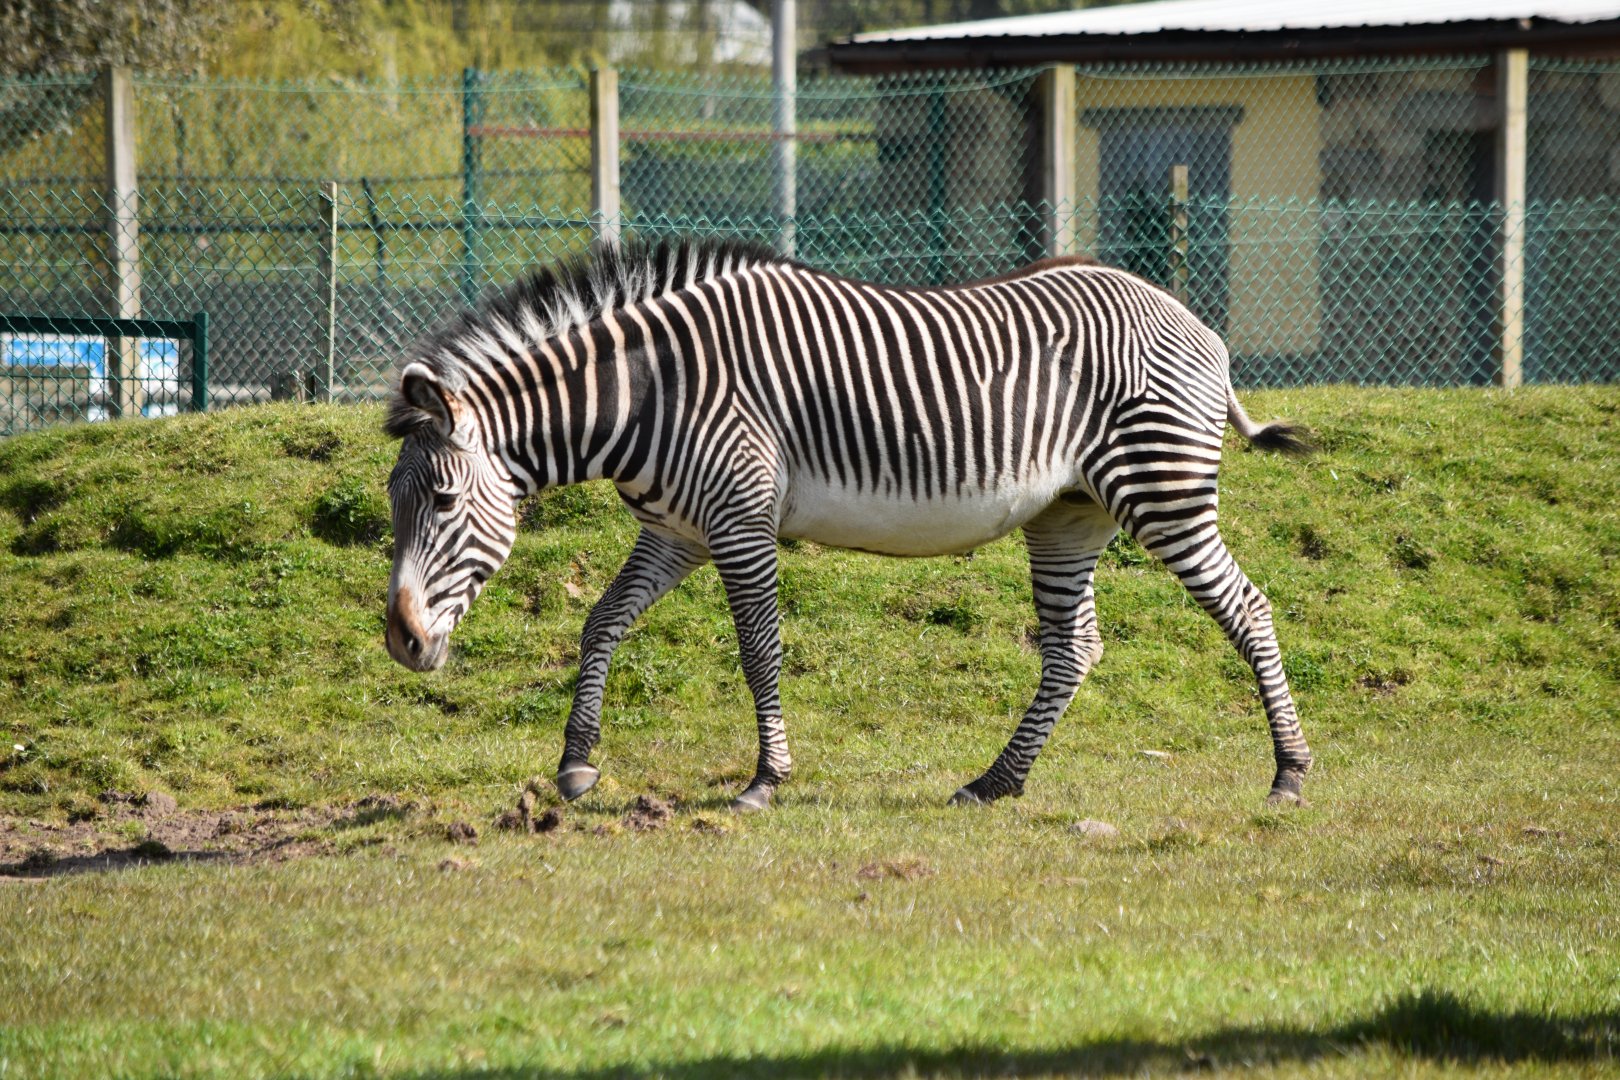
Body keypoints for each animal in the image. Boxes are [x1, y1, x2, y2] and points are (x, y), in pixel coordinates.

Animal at [384, 237, 1314, 812]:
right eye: (394, 502)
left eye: (442, 502)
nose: (401, 641)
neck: (650, 393)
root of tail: (1190, 317)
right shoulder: (678, 531)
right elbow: (602, 621)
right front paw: (576, 763)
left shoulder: (739, 519)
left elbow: (760, 650)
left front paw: (766, 779)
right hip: (1068, 515)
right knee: (1074, 648)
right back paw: (995, 782)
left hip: (1161, 489)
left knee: (1249, 609)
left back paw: (1290, 774)